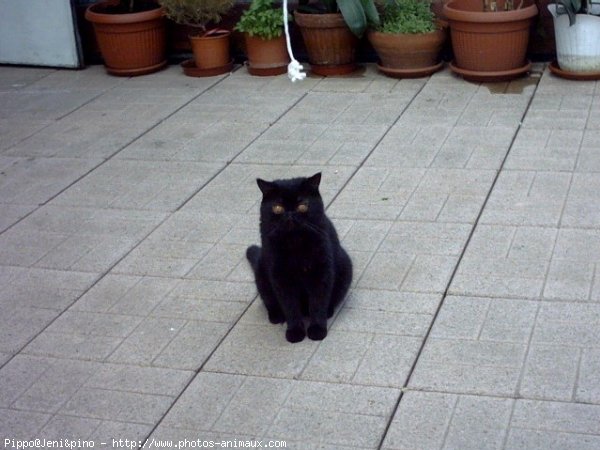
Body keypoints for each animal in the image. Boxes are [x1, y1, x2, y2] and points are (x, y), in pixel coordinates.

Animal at [246, 174, 354, 342]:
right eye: (278, 208)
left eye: (302, 205)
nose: (290, 214)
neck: (295, 243)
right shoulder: (280, 277)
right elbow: (290, 306)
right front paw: (295, 332)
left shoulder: (321, 273)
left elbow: (317, 303)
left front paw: (317, 330)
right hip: (261, 275)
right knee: (269, 301)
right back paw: (276, 317)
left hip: (345, 267)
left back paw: (328, 312)